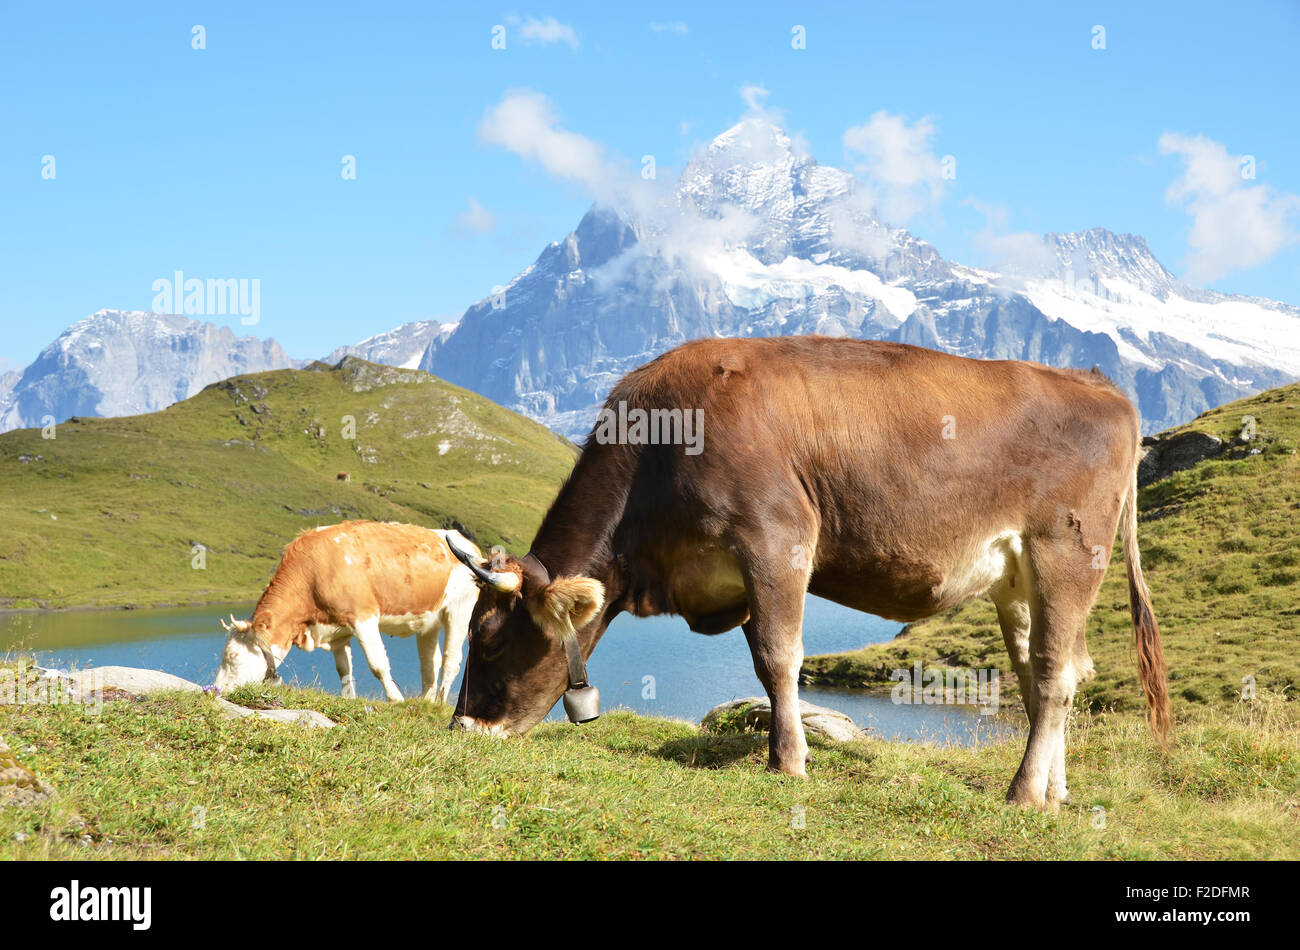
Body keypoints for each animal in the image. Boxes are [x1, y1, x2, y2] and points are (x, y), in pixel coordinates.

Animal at [213, 521, 480, 703]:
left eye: (233, 656)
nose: (215, 691)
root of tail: (467, 544)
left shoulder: (363, 617)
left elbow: (377, 663)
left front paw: (395, 699)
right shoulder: (338, 630)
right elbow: (344, 670)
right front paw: (349, 699)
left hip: (460, 609)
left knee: (451, 660)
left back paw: (440, 703)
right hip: (428, 621)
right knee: (429, 663)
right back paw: (426, 702)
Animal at [445, 336, 1172, 811]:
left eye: (488, 639)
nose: (461, 729)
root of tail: (1098, 384)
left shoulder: (777, 538)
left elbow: (778, 657)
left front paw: (788, 764)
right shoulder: (739, 578)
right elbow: (765, 664)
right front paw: (784, 750)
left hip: (1067, 555)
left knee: (1052, 677)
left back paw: (1022, 794)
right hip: (1017, 580)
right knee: (1055, 672)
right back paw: (1056, 791)